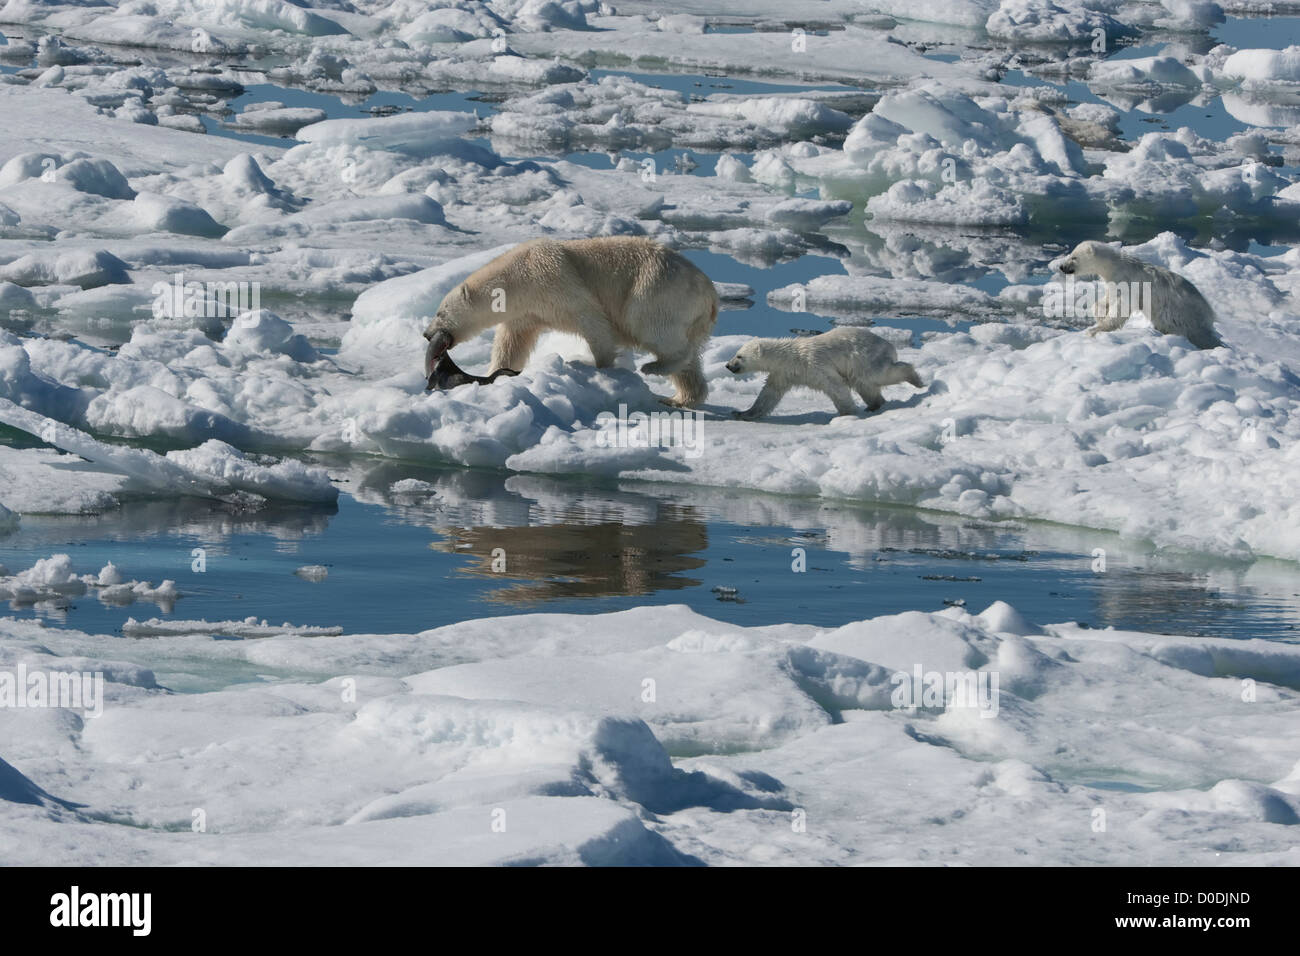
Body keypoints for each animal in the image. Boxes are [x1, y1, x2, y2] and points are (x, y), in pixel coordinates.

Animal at [421, 238, 717, 408]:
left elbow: (593, 319)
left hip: (656, 289)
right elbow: (513, 342)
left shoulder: (554, 279)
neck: (517, 276)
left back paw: (654, 367)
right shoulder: (526, 310)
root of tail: (710, 292)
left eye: (439, 313)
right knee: (690, 364)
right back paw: (681, 398)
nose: (426, 334)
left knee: (656, 329)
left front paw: (602, 368)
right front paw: (495, 372)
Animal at [1060, 240, 1222, 348]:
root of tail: (1209, 312)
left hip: (1181, 312)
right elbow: (1107, 299)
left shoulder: (1127, 282)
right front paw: (1099, 315)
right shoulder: (1113, 281)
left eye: (1074, 257)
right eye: (1071, 254)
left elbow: (1121, 307)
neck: (1115, 266)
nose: (1062, 267)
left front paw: (1096, 329)